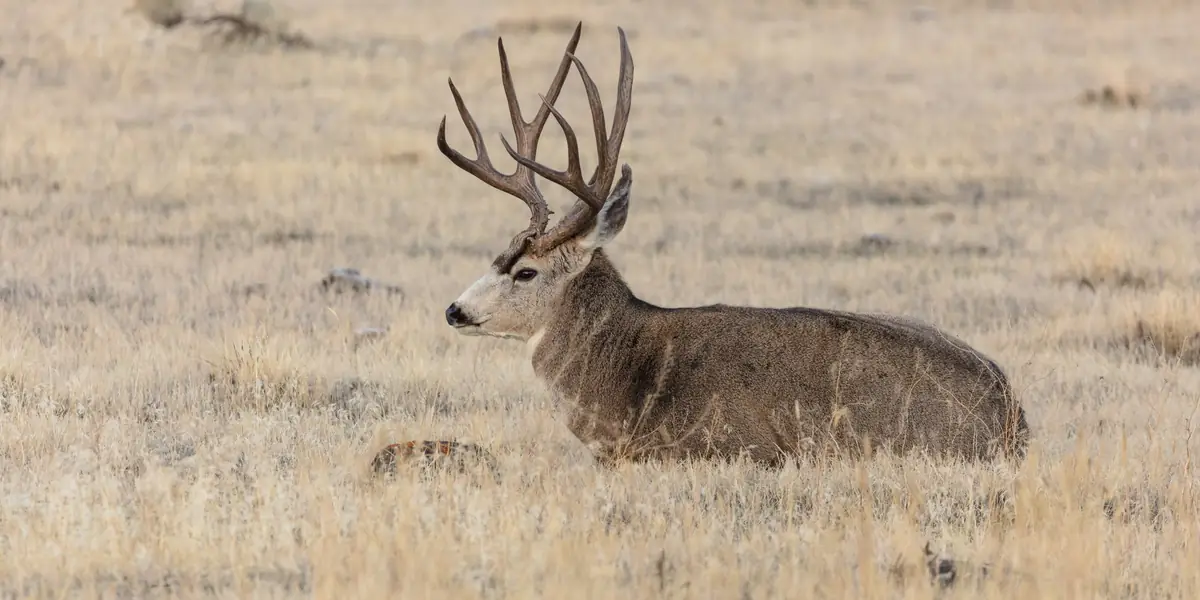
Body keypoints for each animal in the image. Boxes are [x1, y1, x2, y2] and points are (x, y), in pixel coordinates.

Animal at [427, 22, 1030, 469]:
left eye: (526, 271)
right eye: (496, 256)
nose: (454, 310)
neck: (627, 380)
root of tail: (1011, 418)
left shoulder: (728, 447)